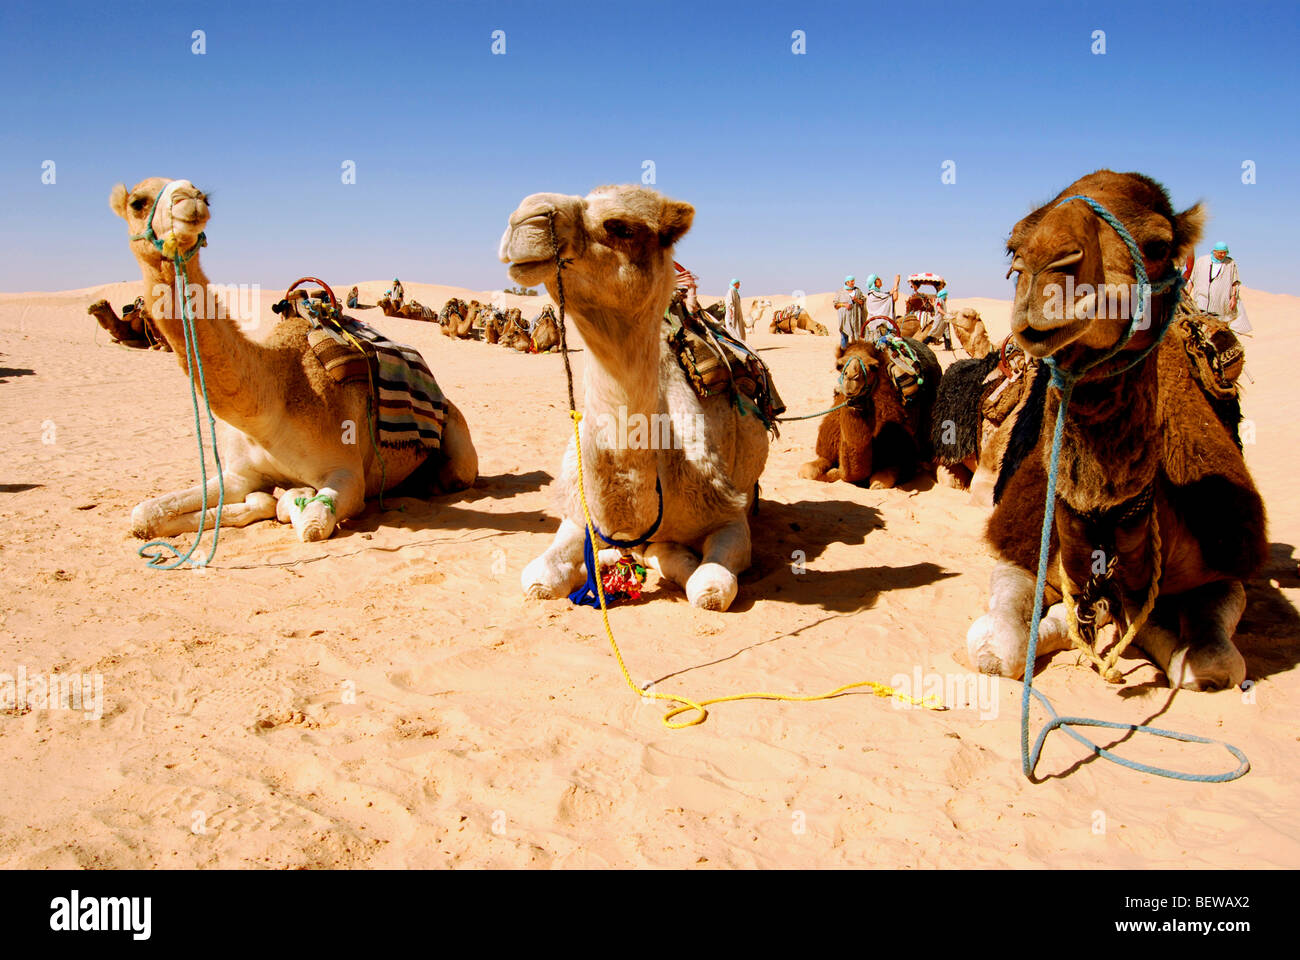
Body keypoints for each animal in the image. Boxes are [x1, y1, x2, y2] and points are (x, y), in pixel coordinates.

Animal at [111, 175, 478, 541]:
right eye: (138, 202)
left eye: (205, 196)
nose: (191, 199)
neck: (272, 404)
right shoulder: (238, 474)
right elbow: (144, 515)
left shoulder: (347, 473)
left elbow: (310, 522)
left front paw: (292, 495)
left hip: (458, 442)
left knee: (455, 474)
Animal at [493, 183, 759, 608]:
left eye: (621, 226)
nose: (525, 217)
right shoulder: (580, 513)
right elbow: (538, 578)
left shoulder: (728, 513)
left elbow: (709, 588)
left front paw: (673, 559)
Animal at [795, 338, 941, 486]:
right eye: (839, 365)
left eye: (874, 367)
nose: (852, 377)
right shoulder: (827, 449)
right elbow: (807, 471)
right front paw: (833, 472)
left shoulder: (902, 455)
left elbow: (878, 481)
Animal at [972, 170, 1263, 686]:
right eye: (1013, 247)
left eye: (1159, 244)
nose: (1047, 269)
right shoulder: (1021, 549)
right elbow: (997, 649)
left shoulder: (1223, 564)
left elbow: (1210, 664)